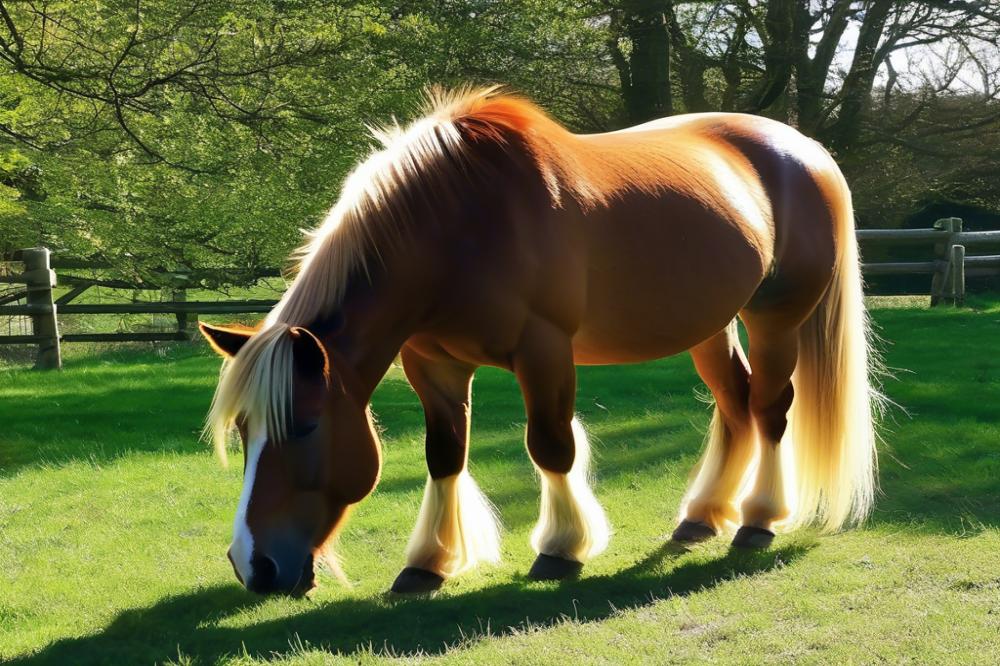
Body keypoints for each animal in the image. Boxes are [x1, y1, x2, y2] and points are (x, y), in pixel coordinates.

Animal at [199, 85, 880, 592]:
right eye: (244, 431)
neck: (458, 224)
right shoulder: (432, 365)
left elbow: (551, 446)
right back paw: (701, 517)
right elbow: (445, 455)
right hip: (710, 325)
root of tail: (805, 150)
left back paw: (758, 521)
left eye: (306, 425)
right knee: (734, 405)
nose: (253, 565)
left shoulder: (544, 349)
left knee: (769, 408)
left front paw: (561, 549)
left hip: (775, 317)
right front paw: (427, 564)